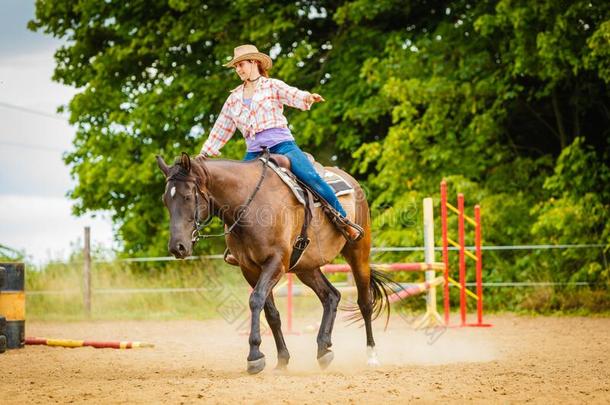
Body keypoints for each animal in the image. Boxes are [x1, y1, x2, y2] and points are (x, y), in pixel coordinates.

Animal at [157, 153, 394, 374]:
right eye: (165, 200)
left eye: (188, 196)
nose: (177, 247)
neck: (249, 206)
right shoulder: (250, 269)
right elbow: (270, 312)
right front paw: (282, 359)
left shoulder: (276, 263)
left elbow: (255, 300)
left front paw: (254, 356)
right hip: (305, 267)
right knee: (331, 296)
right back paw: (323, 349)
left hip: (358, 254)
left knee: (365, 302)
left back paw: (371, 355)